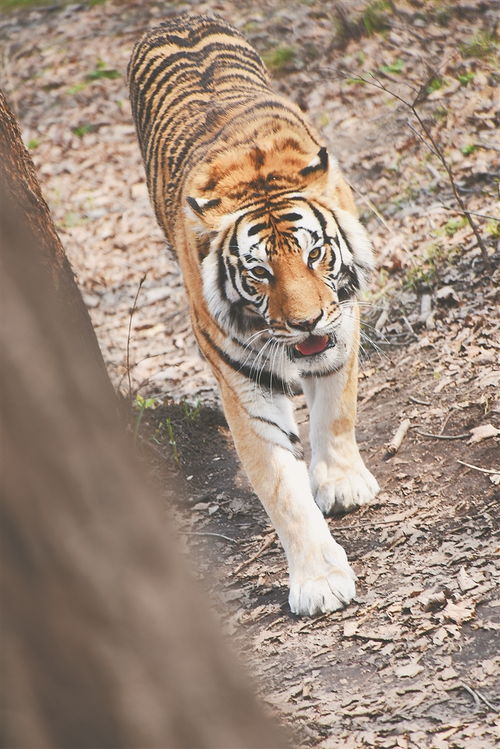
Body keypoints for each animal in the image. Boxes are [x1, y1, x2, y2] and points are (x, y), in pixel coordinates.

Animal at [129, 14, 378, 616]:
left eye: (315, 254)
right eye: (259, 272)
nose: (306, 322)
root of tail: (175, 18)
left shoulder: (342, 326)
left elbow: (337, 411)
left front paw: (340, 483)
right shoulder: (243, 380)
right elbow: (280, 487)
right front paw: (320, 582)